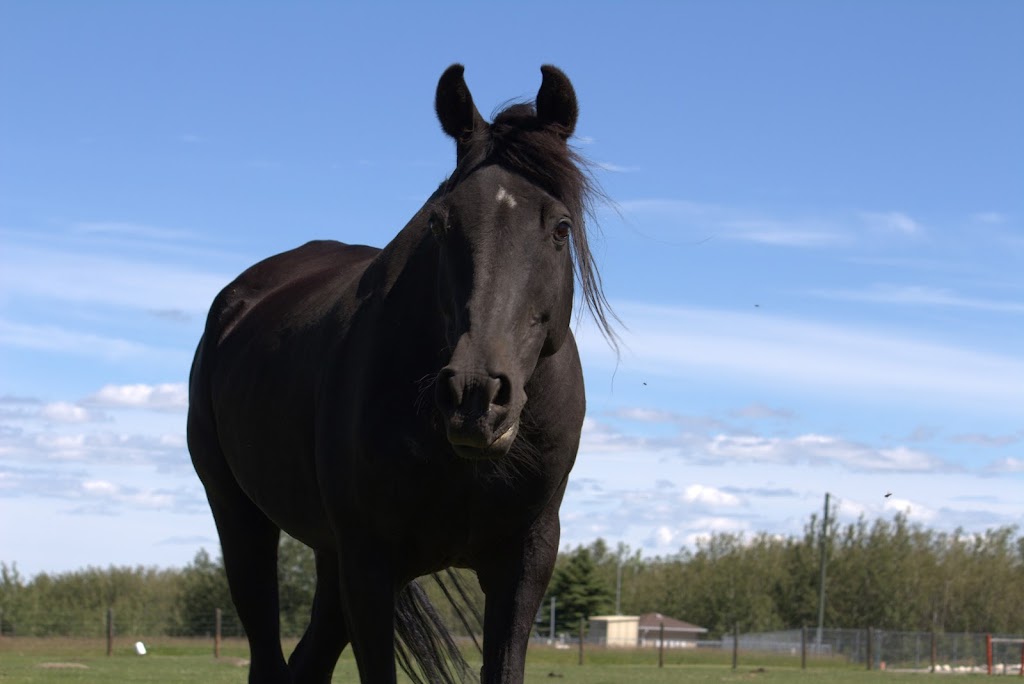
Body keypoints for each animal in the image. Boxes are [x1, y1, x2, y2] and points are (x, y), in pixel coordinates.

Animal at [188, 63, 610, 684]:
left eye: (559, 228)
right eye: (439, 223)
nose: (476, 396)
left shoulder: (525, 560)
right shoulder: (369, 561)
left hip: (328, 554)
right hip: (240, 518)